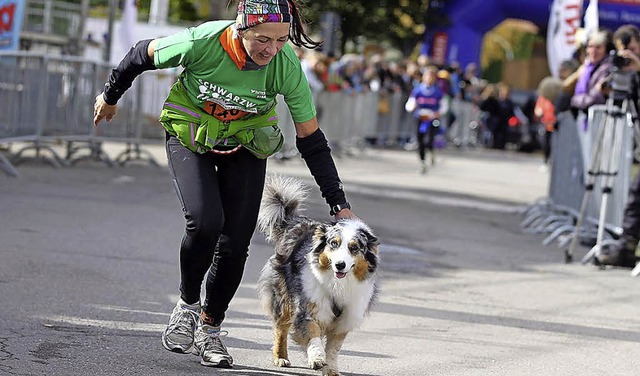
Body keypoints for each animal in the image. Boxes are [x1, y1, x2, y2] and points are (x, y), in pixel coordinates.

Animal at [258, 176, 380, 376]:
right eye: (333, 244)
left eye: (354, 248)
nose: (340, 265)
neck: (338, 284)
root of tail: (295, 223)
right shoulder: (310, 306)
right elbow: (312, 333)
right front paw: (316, 358)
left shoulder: (344, 319)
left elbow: (334, 348)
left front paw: (330, 368)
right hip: (285, 297)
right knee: (281, 327)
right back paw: (280, 357)